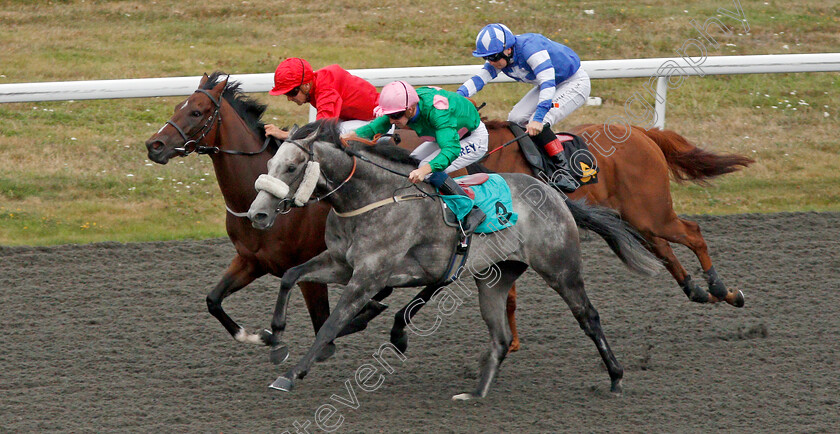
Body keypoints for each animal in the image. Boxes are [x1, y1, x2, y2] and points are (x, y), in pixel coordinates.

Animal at [244, 120, 664, 398]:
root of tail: (553, 194)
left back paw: (616, 376)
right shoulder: (340, 262)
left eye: (292, 167)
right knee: (500, 335)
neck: (370, 198)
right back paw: (476, 393)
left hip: (561, 268)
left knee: (588, 316)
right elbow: (290, 275)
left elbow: (331, 324)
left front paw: (293, 373)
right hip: (495, 277)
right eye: (269, 165)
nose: (258, 214)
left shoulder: (369, 275)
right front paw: (276, 339)